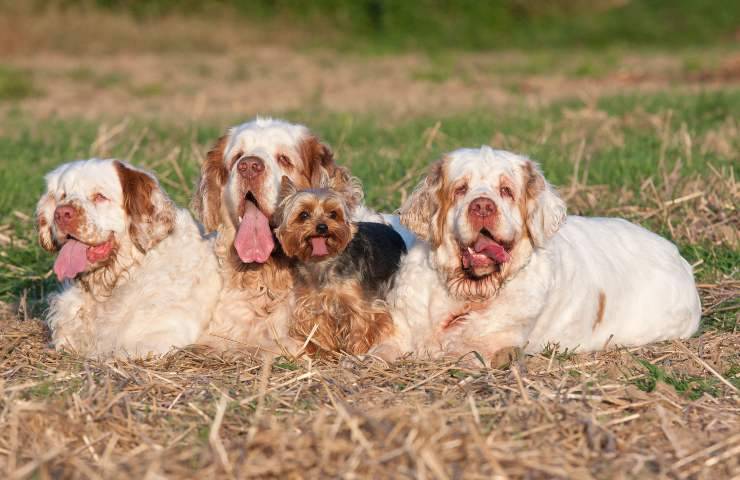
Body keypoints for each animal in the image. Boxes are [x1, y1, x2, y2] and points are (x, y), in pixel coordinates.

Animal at [372, 146, 704, 368]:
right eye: (461, 189)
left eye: (506, 191)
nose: (482, 206)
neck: (469, 293)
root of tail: (678, 256)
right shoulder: (400, 329)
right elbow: (380, 351)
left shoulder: (491, 346)